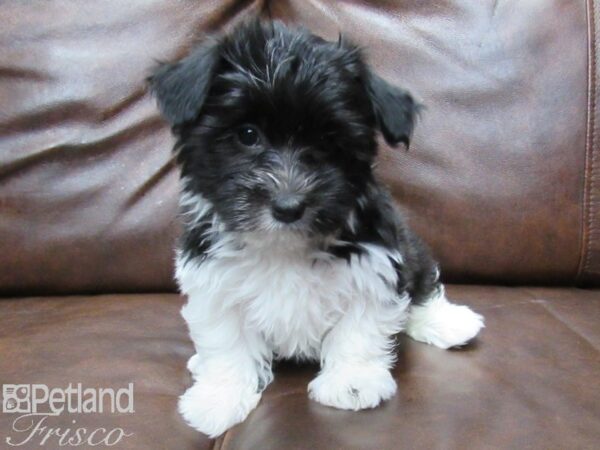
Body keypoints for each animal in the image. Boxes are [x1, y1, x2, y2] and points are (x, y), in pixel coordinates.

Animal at [149, 19, 482, 438]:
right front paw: (219, 397)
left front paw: (352, 383)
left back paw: (450, 322)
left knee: (422, 284)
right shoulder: (211, 280)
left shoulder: (375, 265)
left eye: (328, 141)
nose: (288, 206)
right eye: (247, 134)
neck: (282, 245)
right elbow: (226, 340)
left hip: (410, 248)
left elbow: (359, 329)